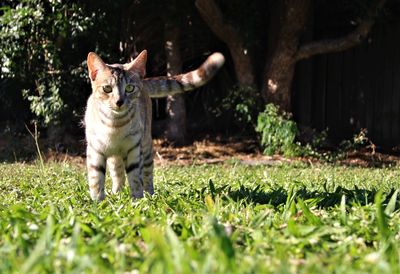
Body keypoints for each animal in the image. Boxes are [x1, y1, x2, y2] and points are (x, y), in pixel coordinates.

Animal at [85, 50, 225, 200]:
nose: (119, 102)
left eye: (129, 88)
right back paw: (117, 193)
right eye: (107, 89)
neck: (115, 124)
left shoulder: (134, 149)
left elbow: (135, 178)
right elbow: (96, 179)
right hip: (116, 156)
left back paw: (149, 194)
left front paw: (137, 200)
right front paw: (98, 201)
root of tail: (143, 80)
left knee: (146, 173)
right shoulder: (95, 149)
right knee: (118, 174)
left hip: (146, 146)